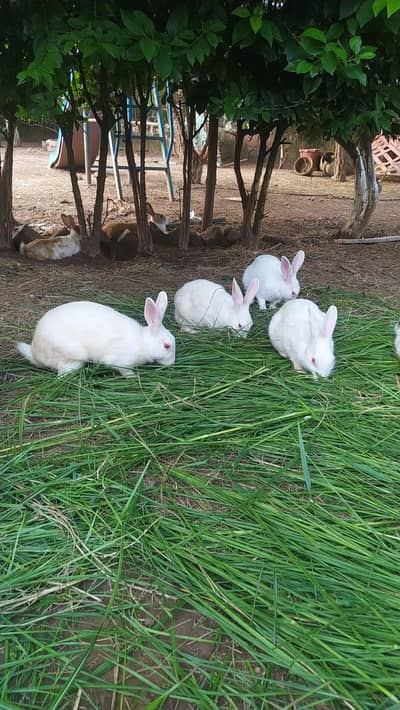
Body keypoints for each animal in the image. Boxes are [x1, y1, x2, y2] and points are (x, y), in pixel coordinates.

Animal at [16, 291, 175, 377]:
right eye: (167, 346)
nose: (172, 363)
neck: (143, 342)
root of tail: (35, 352)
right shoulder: (121, 362)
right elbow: (124, 371)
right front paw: (133, 377)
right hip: (73, 355)